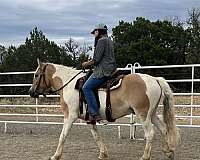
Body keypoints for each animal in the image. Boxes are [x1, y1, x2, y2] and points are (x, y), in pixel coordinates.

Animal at [28, 60, 180, 160]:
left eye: (36, 75)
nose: (31, 92)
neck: (69, 84)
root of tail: (155, 79)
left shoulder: (70, 116)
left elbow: (63, 135)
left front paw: (56, 155)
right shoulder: (89, 119)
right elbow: (96, 136)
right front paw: (103, 154)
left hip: (143, 114)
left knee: (150, 133)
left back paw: (145, 156)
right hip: (151, 114)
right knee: (163, 129)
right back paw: (168, 152)